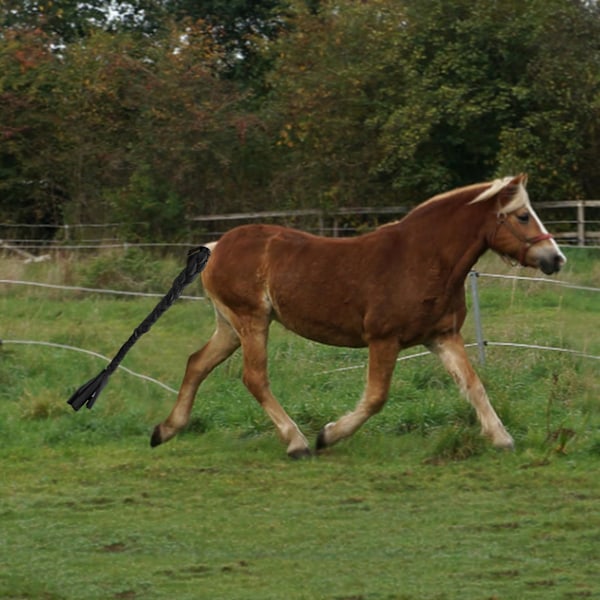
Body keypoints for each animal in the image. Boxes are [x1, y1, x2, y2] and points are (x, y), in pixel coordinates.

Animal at [149, 176, 564, 458]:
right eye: (523, 216)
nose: (555, 259)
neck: (423, 259)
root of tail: (215, 247)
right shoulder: (384, 340)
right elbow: (376, 397)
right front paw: (328, 435)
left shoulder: (442, 337)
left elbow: (473, 385)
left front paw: (502, 438)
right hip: (251, 322)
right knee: (254, 378)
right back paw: (297, 442)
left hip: (231, 327)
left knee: (197, 364)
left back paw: (165, 431)